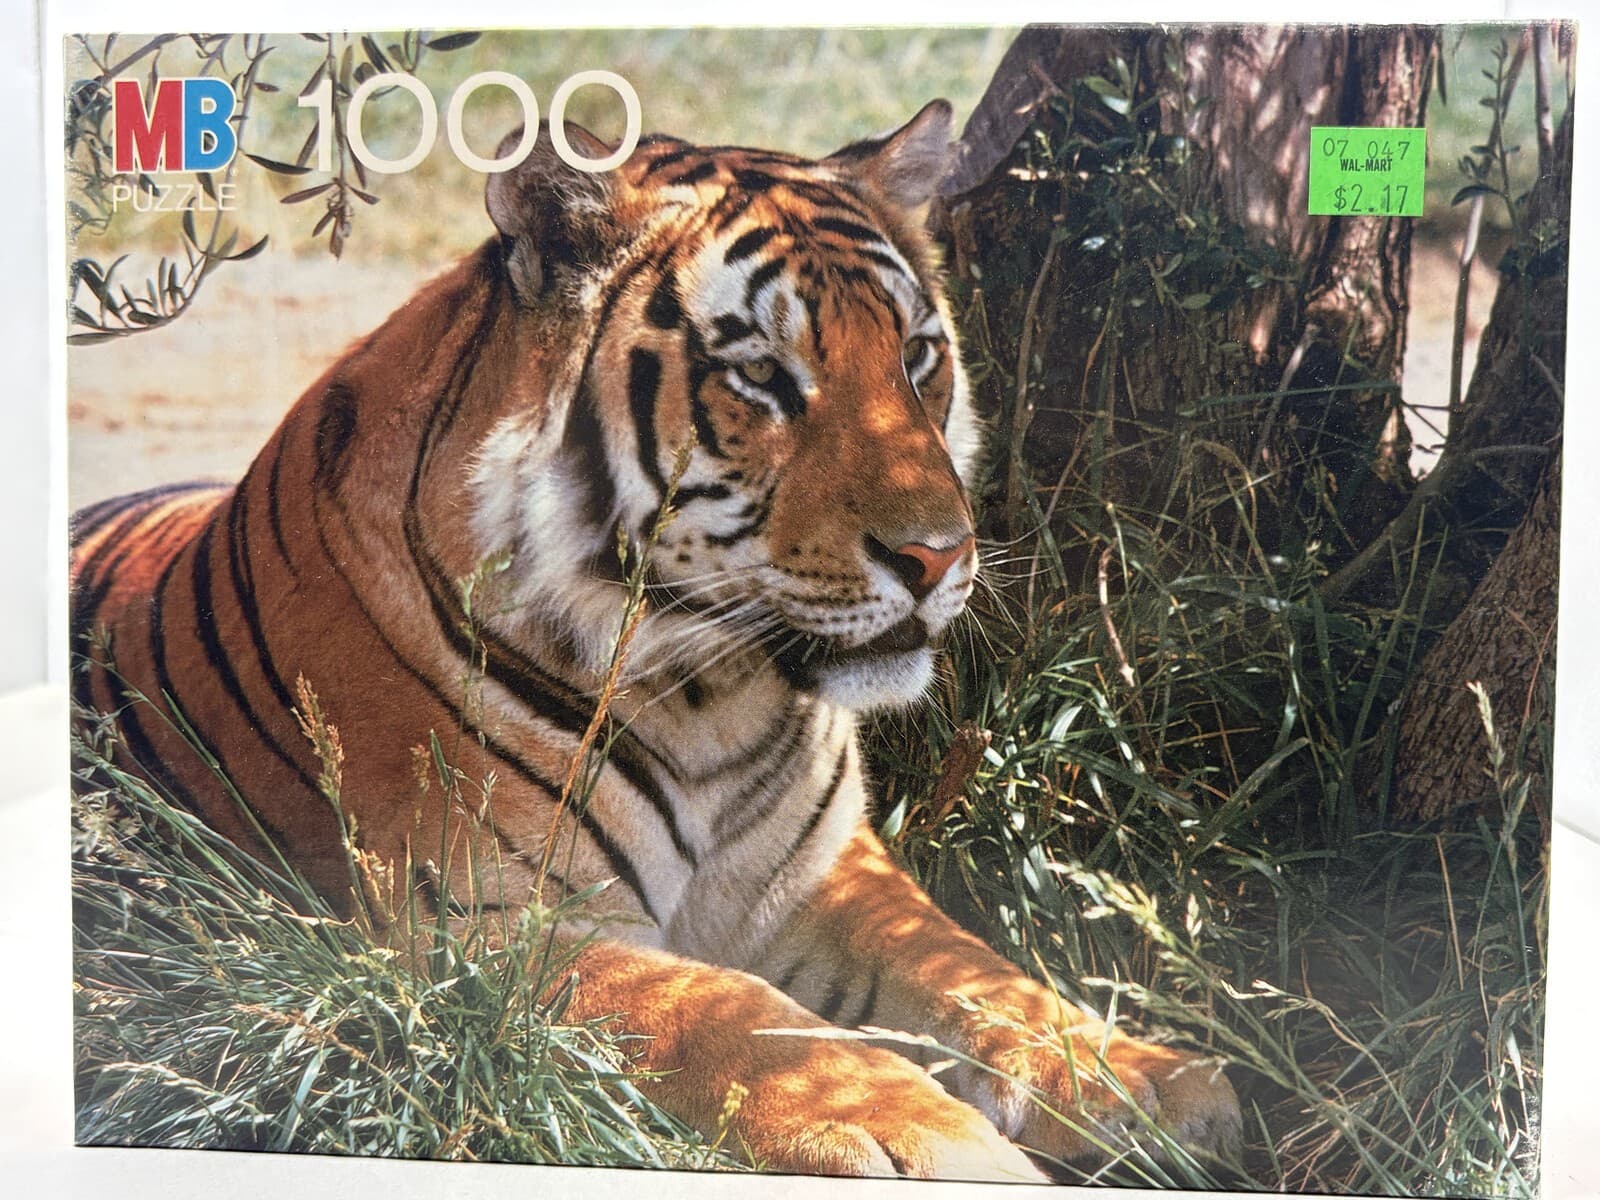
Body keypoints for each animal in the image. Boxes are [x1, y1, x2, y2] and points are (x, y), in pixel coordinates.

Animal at [70, 100, 1241, 1181]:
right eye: (763, 375)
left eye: (917, 357)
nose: (937, 555)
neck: (715, 690)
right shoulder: (483, 931)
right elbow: (739, 1015)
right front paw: (934, 1139)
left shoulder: (826, 874)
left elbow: (969, 970)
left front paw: (1146, 1081)